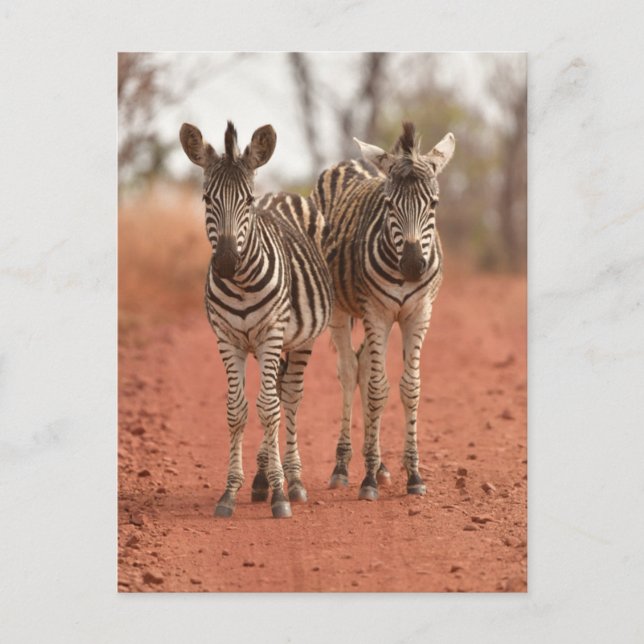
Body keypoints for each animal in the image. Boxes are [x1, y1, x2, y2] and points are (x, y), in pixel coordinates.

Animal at [180, 121, 332, 518]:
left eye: (247, 201)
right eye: (207, 199)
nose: (226, 262)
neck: (242, 283)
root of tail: (280, 194)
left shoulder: (270, 336)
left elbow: (268, 409)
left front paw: (281, 493)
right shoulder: (227, 339)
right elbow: (237, 411)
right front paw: (230, 492)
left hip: (300, 340)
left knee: (288, 397)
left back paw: (292, 480)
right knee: (277, 394)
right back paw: (263, 478)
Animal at [312, 121, 455, 501]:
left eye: (434, 203)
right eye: (389, 204)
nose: (413, 266)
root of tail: (348, 162)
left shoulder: (418, 313)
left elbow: (410, 388)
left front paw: (413, 474)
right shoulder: (376, 312)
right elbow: (378, 389)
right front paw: (368, 480)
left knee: (363, 365)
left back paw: (378, 463)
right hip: (340, 310)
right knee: (350, 371)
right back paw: (343, 466)